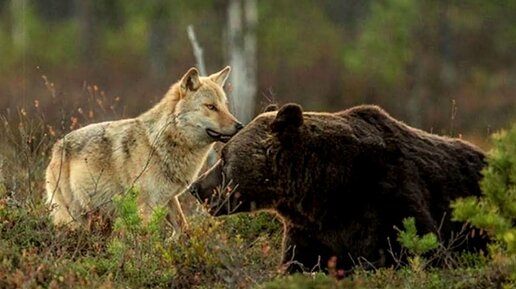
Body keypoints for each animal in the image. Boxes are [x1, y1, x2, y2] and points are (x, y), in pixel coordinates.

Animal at [44, 66, 242, 233]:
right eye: (211, 107)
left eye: (224, 106)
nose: (240, 126)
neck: (158, 144)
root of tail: (56, 147)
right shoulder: (145, 207)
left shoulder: (169, 199)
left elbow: (184, 229)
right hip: (74, 218)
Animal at [188, 102, 484, 272]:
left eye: (224, 157)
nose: (196, 187)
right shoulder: (310, 232)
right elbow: (298, 264)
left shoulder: (390, 196)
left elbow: (425, 251)